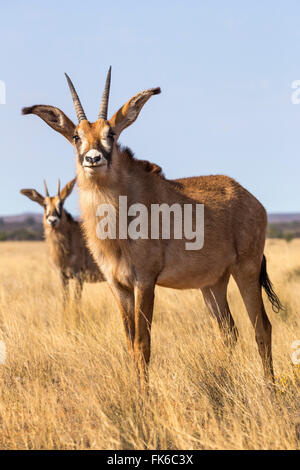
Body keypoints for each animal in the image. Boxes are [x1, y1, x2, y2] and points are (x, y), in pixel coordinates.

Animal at [21, 70, 282, 386]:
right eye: (76, 136)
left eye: (111, 134)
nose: (93, 159)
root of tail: (251, 199)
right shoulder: (118, 286)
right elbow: (129, 342)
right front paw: (136, 390)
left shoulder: (144, 282)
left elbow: (142, 343)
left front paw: (145, 395)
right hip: (213, 283)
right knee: (228, 331)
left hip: (246, 269)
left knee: (262, 327)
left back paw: (269, 388)